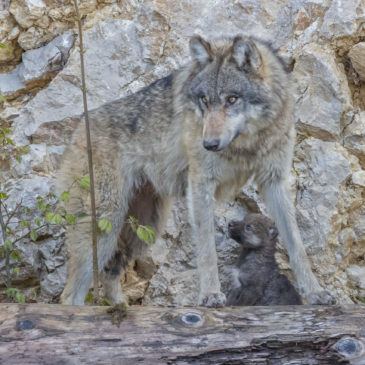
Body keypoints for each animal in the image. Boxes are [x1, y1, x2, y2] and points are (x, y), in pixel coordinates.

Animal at [57, 35, 332, 306]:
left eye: (232, 99)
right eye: (205, 101)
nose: (208, 144)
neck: (247, 145)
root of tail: (77, 128)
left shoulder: (274, 181)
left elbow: (296, 244)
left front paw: (315, 292)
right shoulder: (201, 183)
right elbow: (207, 247)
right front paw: (210, 295)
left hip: (144, 228)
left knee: (109, 274)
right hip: (106, 225)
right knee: (70, 295)